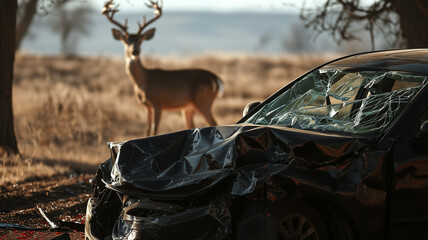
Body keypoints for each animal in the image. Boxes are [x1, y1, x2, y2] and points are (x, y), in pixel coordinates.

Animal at [103, 0, 224, 137]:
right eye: (126, 41)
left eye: (140, 41)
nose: (134, 52)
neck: (144, 80)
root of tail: (216, 78)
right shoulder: (147, 107)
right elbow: (147, 130)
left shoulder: (158, 103)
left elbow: (154, 129)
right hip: (189, 107)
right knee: (192, 125)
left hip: (203, 102)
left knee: (214, 123)